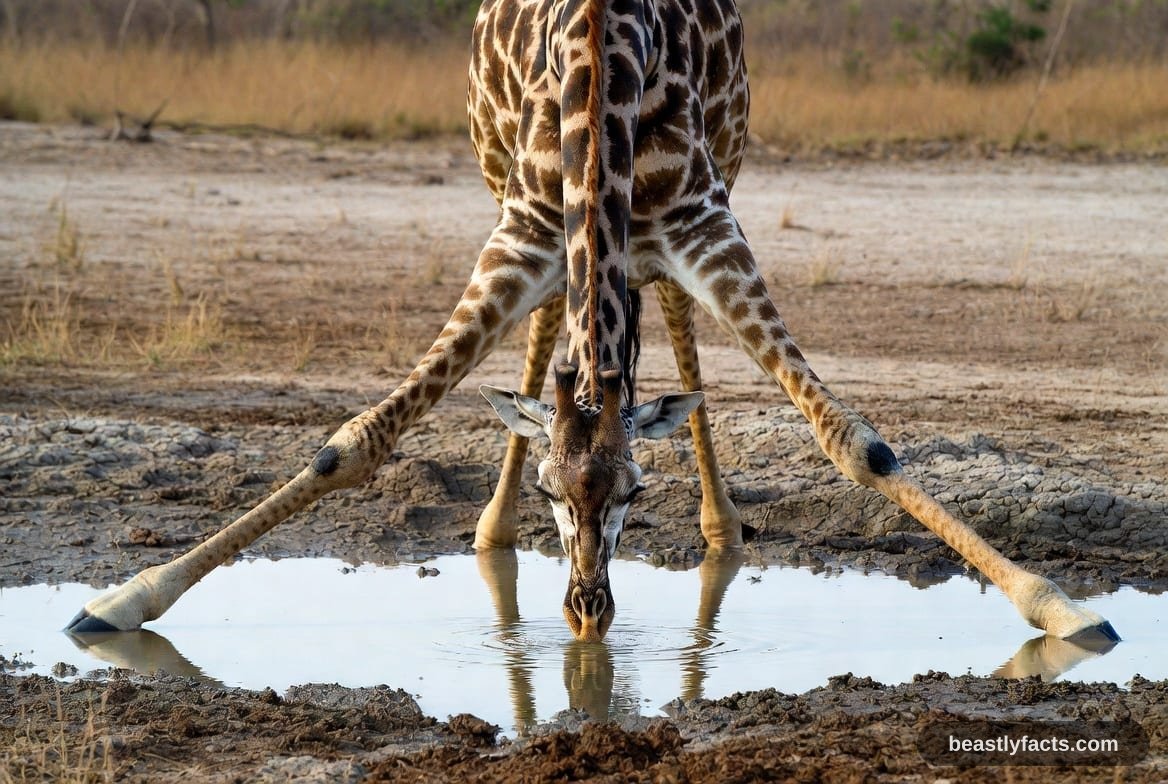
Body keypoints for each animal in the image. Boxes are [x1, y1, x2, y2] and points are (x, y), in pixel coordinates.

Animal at [68, 0, 1117, 646]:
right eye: (550, 493)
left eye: (636, 495)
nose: (585, 614)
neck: (600, 77)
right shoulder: (524, 227)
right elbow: (355, 441)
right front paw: (121, 601)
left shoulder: (703, 217)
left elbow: (855, 441)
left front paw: (1065, 611)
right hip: (504, 185)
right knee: (547, 340)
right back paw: (488, 532)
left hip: (712, 177)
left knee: (669, 323)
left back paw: (722, 529)